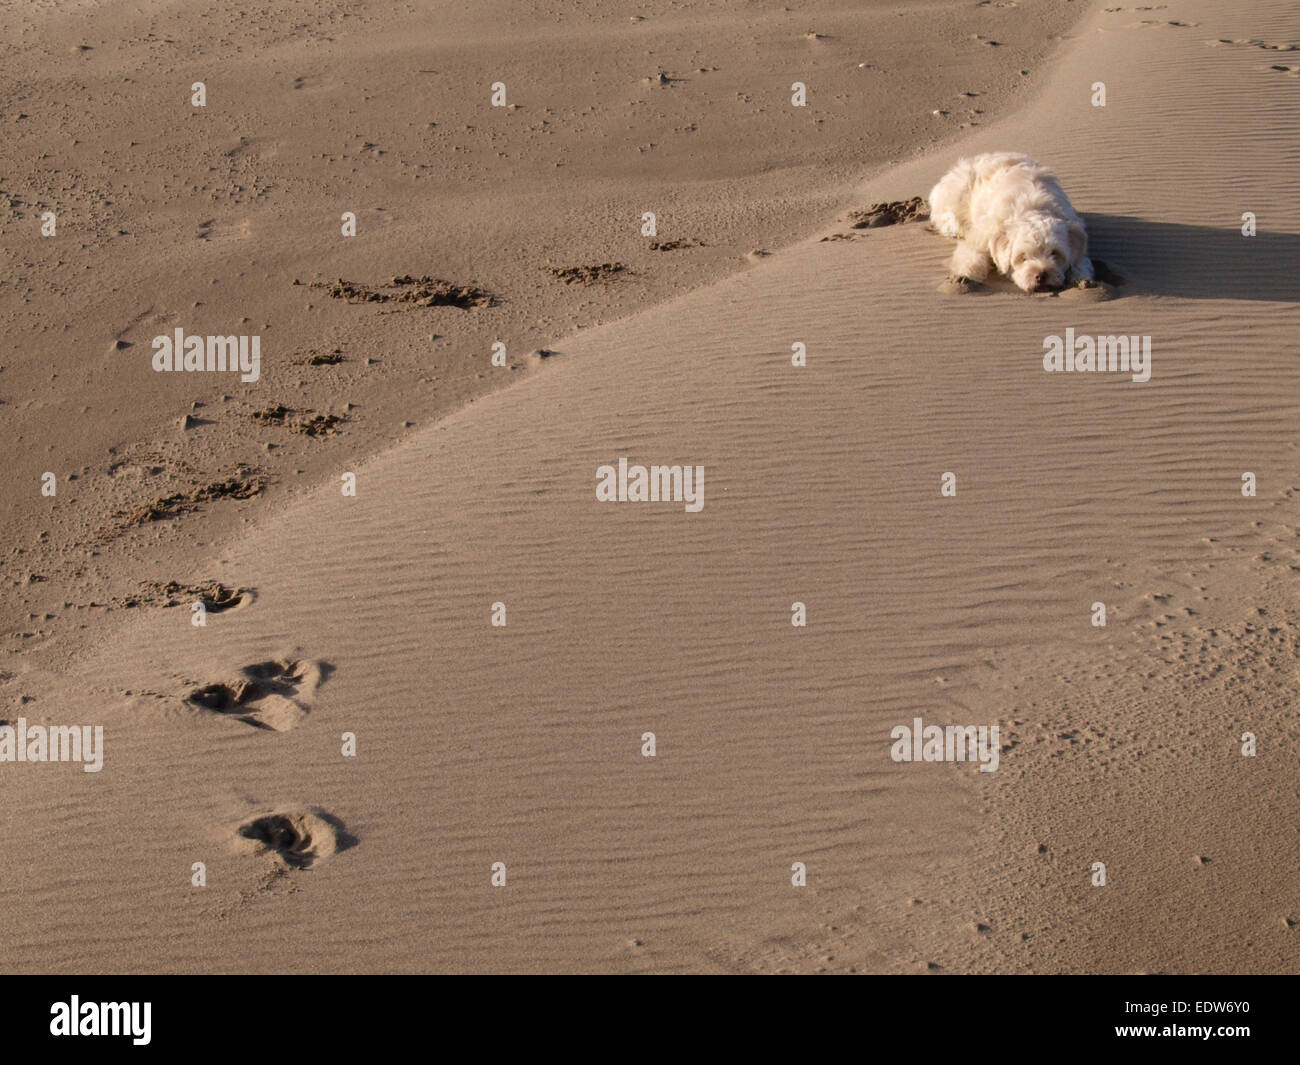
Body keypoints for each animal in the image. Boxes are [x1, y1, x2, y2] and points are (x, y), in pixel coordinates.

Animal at [930, 150, 1092, 291]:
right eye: (1022, 257)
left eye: (1055, 253)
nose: (1041, 275)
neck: (1033, 209)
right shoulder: (980, 236)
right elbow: (971, 257)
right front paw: (963, 277)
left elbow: (1081, 262)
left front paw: (1082, 280)